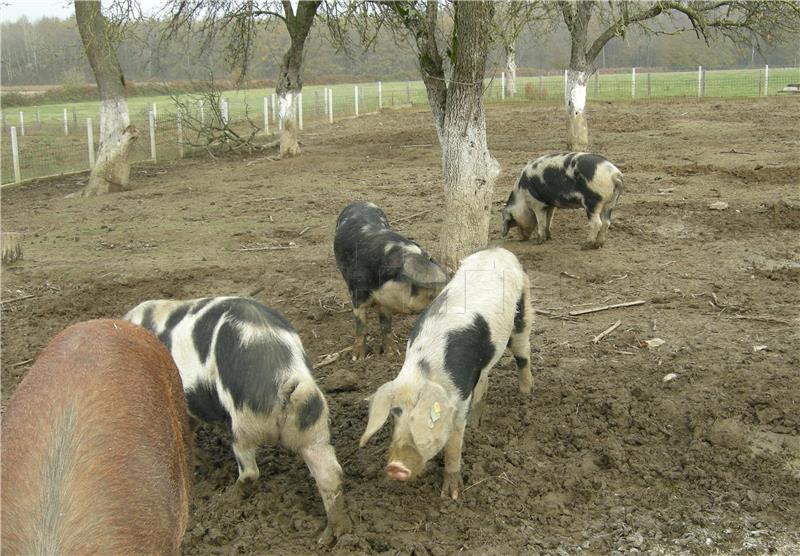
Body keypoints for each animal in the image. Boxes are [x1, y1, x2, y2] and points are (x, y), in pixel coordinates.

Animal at [125, 296, 350, 544]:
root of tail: (286, 376)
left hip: (243, 423)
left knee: (250, 471)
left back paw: (228, 497)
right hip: (313, 427)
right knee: (331, 474)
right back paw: (330, 537)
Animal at [332, 202, 450, 358]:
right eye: (433, 292)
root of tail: (360, 201)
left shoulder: (386, 301)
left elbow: (386, 325)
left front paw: (393, 353)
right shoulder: (358, 293)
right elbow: (361, 327)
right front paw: (358, 357)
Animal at [360, 248, 536, 500]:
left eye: (427, 419)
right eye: (396, 413)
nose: (395, 467)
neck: (423, 371)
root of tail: (500, 250)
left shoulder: (460, 397)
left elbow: (454, 443)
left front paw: (451, 495)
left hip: (522, 308)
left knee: (523, 353)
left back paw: (525, 394)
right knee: (485, 379)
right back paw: (476, 425)